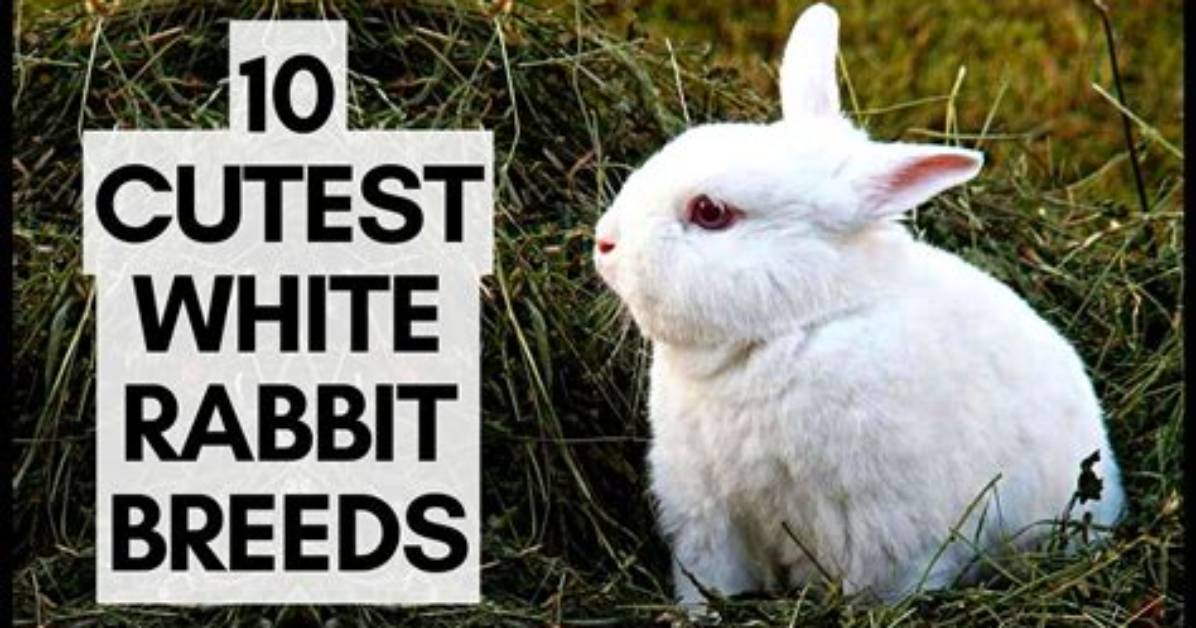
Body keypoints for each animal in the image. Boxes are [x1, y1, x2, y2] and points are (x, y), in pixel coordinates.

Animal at [592, 1, 1125, 610]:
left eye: (710, 212)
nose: (603, 242)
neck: (787, 331)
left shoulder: (884, 533)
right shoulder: (709, 517)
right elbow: (711, 580)